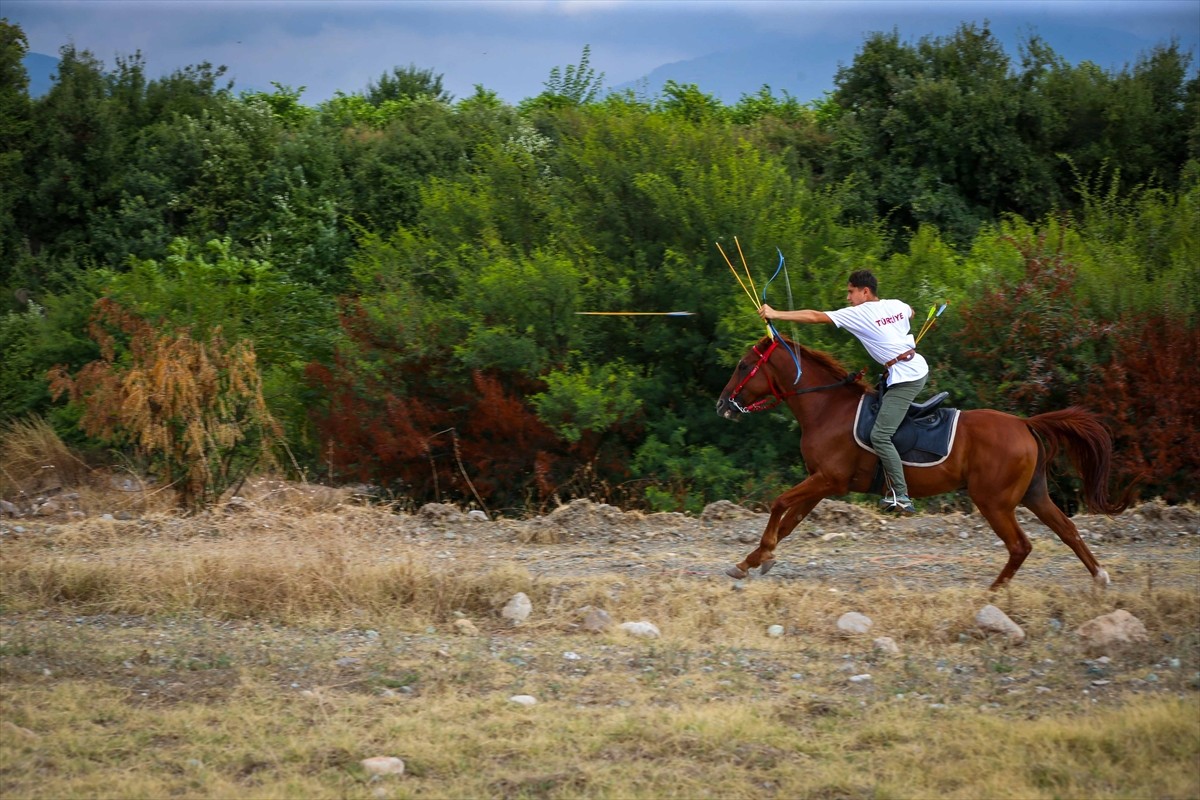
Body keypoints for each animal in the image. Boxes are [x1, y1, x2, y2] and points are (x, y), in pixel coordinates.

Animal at [710, 335, 1132, 592]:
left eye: (743, 364)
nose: (721, 404)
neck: (827, 407)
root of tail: (1025, 424)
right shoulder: (821, 483)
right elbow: (790, 521)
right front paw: (752, 561)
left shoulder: (828, 479)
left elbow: (779, 504)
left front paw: (762, 554)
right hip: (1034, 494)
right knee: (1068, 531)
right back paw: (1100, 577)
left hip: (994, 501)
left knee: (1020, 545)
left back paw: (993, 591)